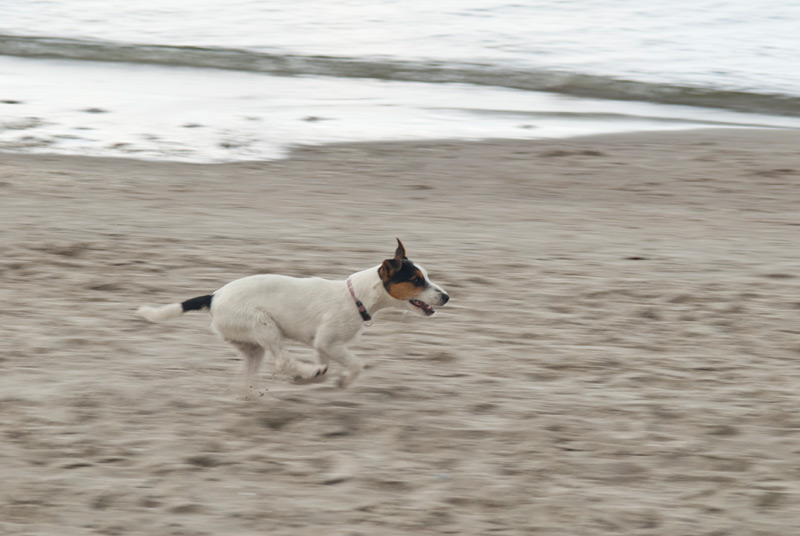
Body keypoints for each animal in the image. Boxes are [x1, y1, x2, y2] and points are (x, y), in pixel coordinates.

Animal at [138, 241, 450, 392]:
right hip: (264, 327)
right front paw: (340, 381)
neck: (355, 296)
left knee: (248, 373)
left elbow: (330, 363)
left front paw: (317, 379)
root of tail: (214, 296)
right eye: (417, 280)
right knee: (282, 359)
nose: (446, 297)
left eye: (426, 276)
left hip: (251, 348)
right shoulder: (329, 343)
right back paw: (307, 372)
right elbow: (356, 365)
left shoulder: (322, 345)